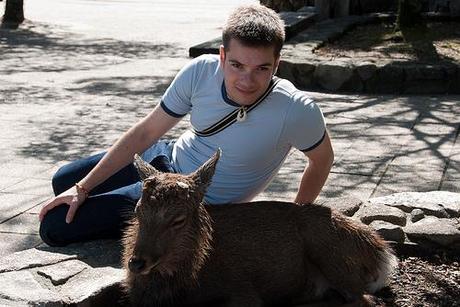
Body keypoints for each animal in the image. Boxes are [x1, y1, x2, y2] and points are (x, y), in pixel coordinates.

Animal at [123, 150, 398, 306]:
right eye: (137, 211)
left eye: (178, 219)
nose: (136, 262)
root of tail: (381, 253)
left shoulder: (242, 290)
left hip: (331, 254)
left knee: (365, 300)